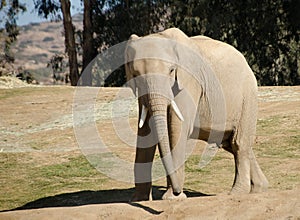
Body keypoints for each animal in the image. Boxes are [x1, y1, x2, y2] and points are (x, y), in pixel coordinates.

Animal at [124, 27, 268, 201]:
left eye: (171, 70)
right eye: (135, 74)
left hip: (247, 96)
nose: (178, 190)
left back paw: (237, 192)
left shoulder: (189, 81)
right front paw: (139, 200)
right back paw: (259, 188)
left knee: (239, 143)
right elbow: (145, 132)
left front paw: (173, 198)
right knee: (230, 143)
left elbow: (177, 129)